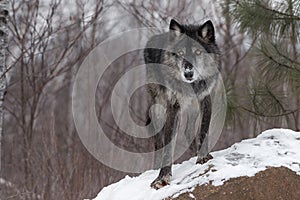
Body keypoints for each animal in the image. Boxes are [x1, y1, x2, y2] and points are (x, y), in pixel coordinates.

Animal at [144, 18, 221, 189]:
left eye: (198, 52)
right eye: (181, 54)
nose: (188, 73)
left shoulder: (205, 99)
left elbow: (203, 130)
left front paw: (203, 157)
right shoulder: (173, 107)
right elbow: (168, 147)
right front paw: (162, 178)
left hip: (192, 109)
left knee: (188, 130)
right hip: (158, 110)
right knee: (158, 142)